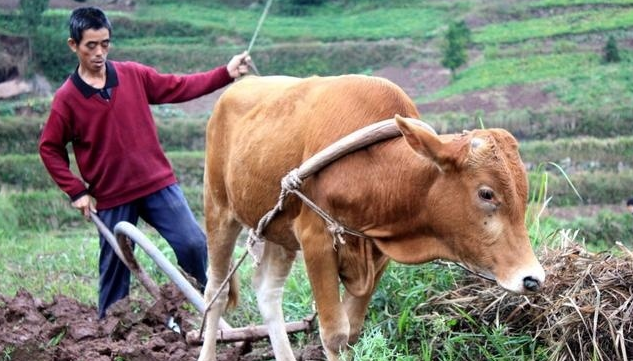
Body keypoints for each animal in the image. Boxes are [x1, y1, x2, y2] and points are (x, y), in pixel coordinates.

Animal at [198, 74, 544, 358]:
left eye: (523, 194)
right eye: (486, 193)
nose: (533, 279)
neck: (374, 170)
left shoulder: (378, 250)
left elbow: (351, 332)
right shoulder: (315, 239)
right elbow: (335, 335)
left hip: (278, 230)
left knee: (267, 291)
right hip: (218, 210)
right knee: (216, 292)